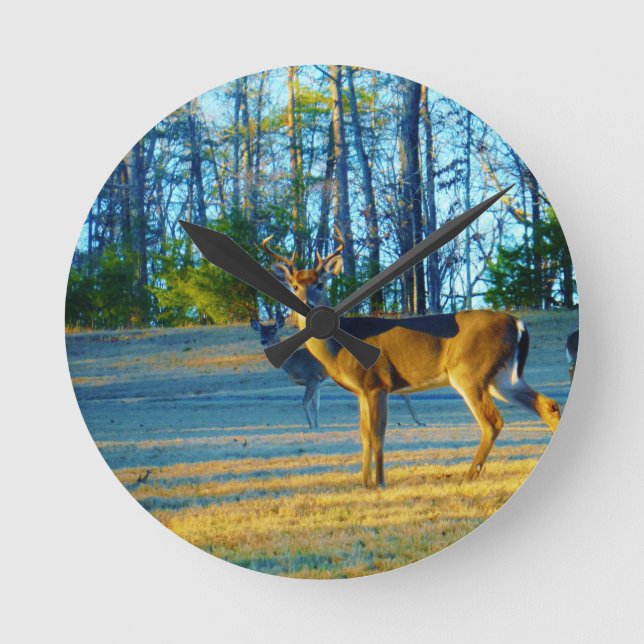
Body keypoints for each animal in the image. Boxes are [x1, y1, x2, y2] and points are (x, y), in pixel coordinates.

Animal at [250, 312, 426, 429]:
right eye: (261, 332)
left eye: (272, 331)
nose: (263, 340)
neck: (294, 362)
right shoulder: (318, 382)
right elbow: (316, 405)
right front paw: (317, 425)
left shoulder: (312, 378)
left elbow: (305, 402)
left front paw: (311, 426)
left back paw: (419, 421)